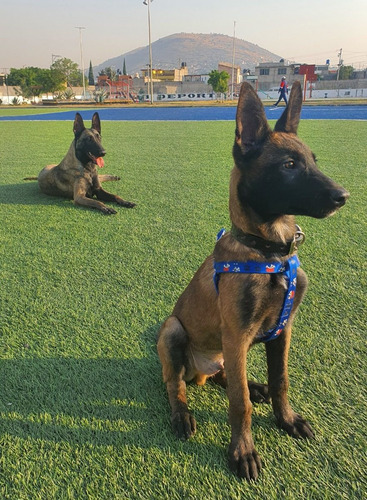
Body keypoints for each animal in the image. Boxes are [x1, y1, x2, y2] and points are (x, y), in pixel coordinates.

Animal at [157, 81, 350, 480]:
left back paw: (252, 385)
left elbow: (280, 380)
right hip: (172, 330)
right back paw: (183, 415)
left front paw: (286, 418)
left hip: (225, 352)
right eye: (289, 166)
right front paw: (242, 451)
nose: (344, 197)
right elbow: (239, 404)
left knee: (227, 377)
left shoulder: (283, 330)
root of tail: (200, 370)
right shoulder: (237, 333)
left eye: (314, 161)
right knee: (176, 383)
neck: (270, 253)